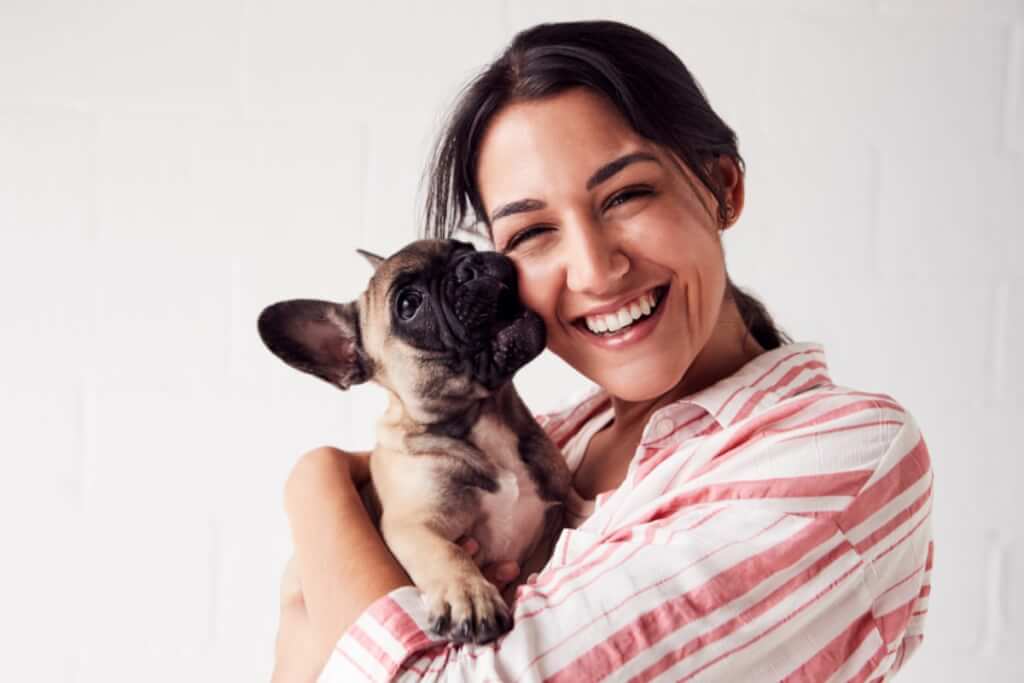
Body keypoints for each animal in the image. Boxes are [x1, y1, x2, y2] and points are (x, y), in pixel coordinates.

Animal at [260, 237, 573, 643]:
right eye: (408, 305)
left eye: (464, 245)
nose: (472, 264)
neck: (483, 416)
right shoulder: (413, 525)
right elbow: (446, 554)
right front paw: (468, 596)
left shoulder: (563, 501)